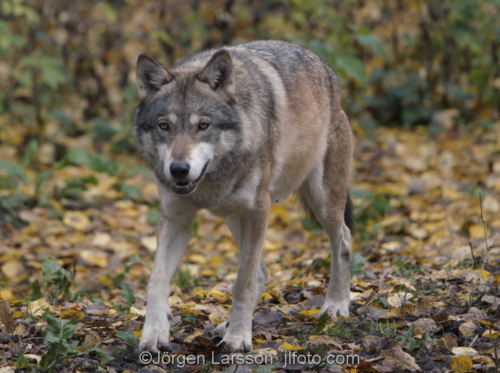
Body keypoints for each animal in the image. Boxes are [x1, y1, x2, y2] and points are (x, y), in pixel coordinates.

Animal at [133, 40, 352, 352]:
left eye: (203, 126)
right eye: (164, 126)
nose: (178, 169)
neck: (211, 182)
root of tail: (324, 66)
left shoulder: (258, 211)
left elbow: (243, 282)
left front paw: (238, 338)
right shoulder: (176, 220)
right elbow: (156, 281)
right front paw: (153, 334)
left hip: (322, 203)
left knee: (343, 240)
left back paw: (335, 305)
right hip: (236, 219)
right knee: (263, 270)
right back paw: (225, 325)